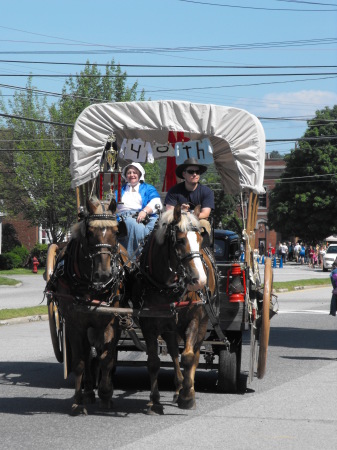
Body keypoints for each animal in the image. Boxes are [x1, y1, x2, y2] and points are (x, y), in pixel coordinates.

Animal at [45, 197, 128, 414]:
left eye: (116, 231)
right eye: (90, 232)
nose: (104, 274)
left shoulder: (110, 322)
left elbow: (106, 359)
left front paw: (106, 395)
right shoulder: (75, 324)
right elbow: (80, 362)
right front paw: (78, 400)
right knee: (87, 355)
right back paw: (89, 391)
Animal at [138, 206, 217, 414]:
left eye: (200, 240)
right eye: (180, 240)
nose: (200, 280)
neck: (166, 286)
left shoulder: (194, 318)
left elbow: (188, 357)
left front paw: (188, 396)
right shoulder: (149, 324)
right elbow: (153, 362)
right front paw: (154, 401)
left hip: (203, 322)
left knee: (194, 354)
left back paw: (187, 388)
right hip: (169, 327)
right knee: (173, 351)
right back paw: (178, 386)